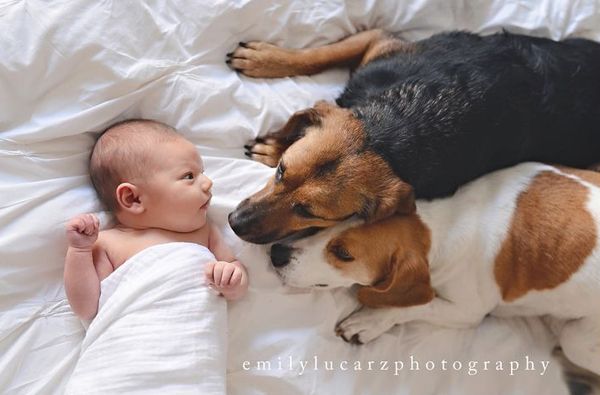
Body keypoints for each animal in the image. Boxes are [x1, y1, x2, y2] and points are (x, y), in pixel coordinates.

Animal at [226, 29, 600, 244]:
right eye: (281, 173)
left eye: (307, 212)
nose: (234, 223)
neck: (397, 126)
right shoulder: (382, 42)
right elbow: (324, 53)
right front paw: (268, 60)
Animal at [270, 162, 600, 376]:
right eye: (323, 227)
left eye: (342, 253)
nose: (276, 253)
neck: (441, 225)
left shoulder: (468, 312)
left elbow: (417, 305)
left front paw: (369, 321)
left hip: (576, 340)